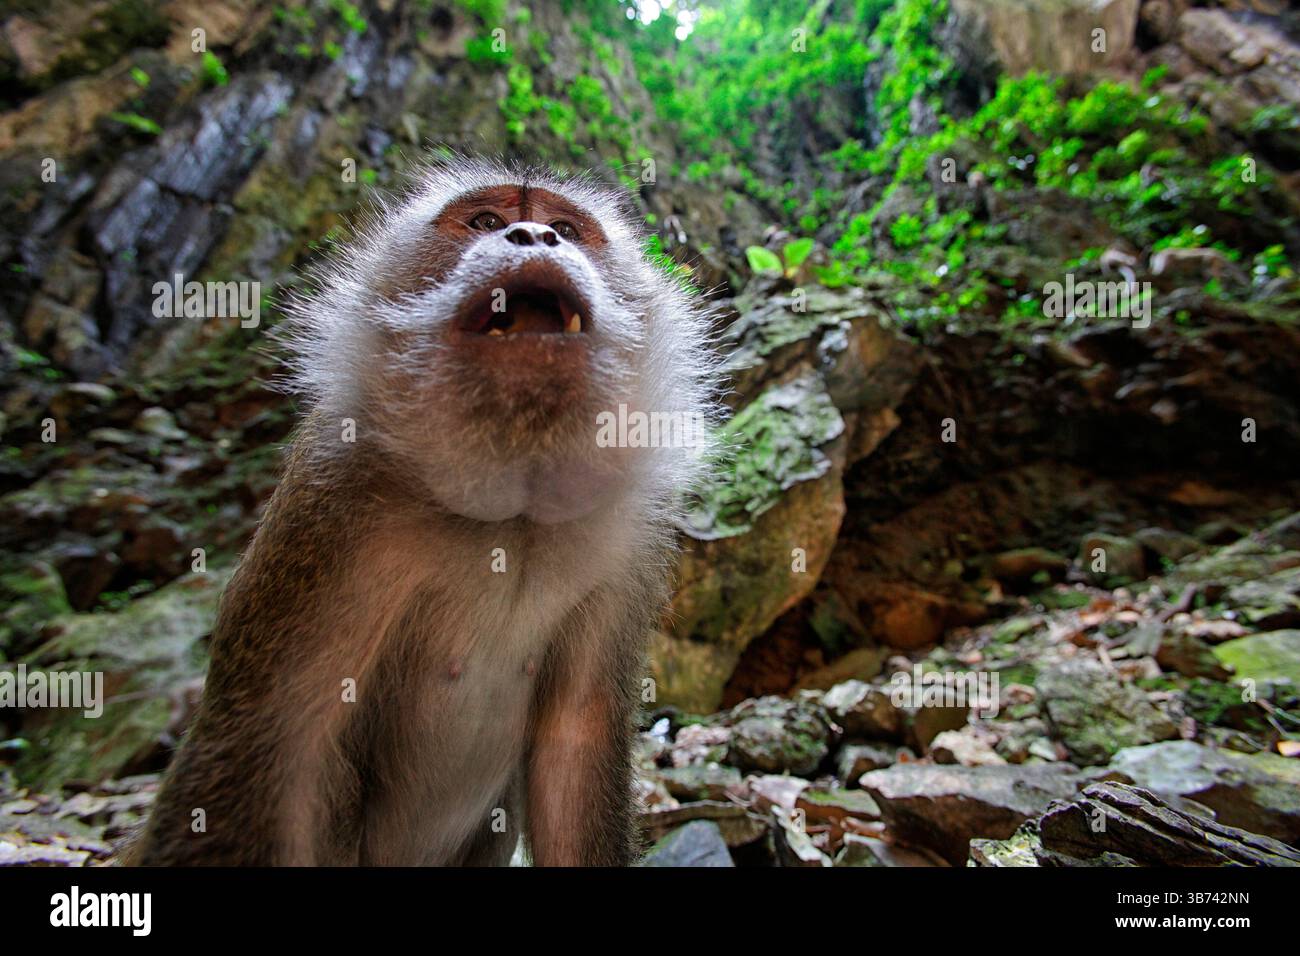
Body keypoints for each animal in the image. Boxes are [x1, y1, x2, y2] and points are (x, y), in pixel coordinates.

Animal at [126, 156, 720, 866]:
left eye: (568, 229)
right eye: (486, 220)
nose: (534, 236)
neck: (509, 516)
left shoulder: (632, 539)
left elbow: (574, 746)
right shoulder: (330, 501)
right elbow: (264, 740)